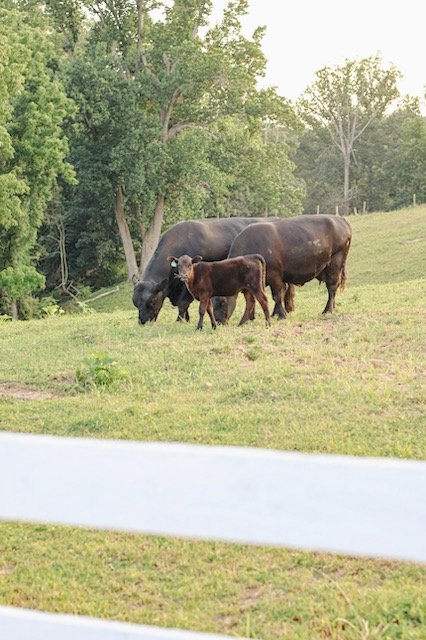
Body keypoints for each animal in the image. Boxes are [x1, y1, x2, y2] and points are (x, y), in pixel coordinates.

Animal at [132, 217, 266, 325]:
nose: (143, 322)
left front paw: (179, 321)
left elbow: (183, 304)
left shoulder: (189, 286)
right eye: (135, 303)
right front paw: (186, 320)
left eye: (151, 302)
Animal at [222, 214, 352, 317]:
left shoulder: (275, 277)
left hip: (335, 264)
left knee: (331, 287)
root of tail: (340, 219)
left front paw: (281, 314)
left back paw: (327, 310)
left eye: (222, 301)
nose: (219, 322)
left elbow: (277, 295)